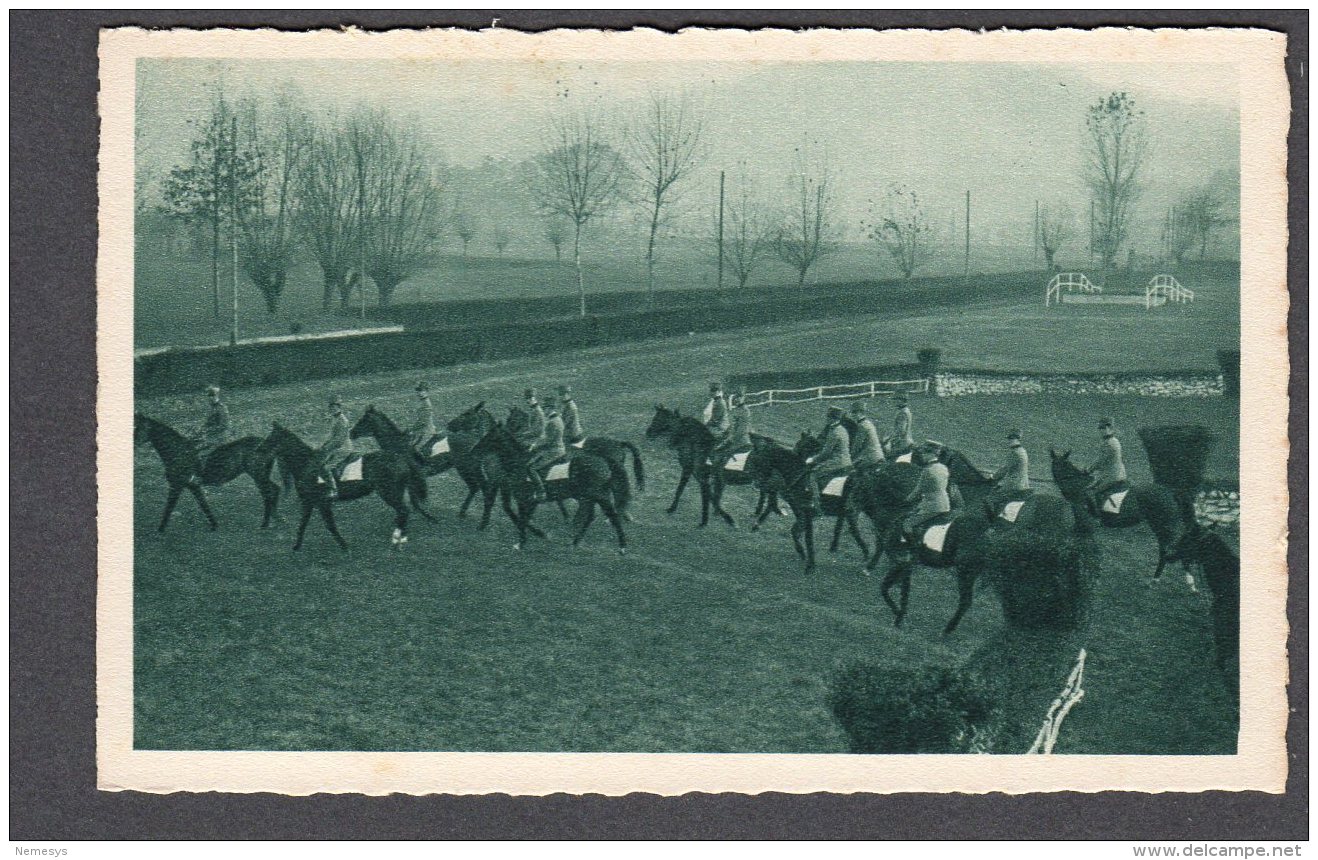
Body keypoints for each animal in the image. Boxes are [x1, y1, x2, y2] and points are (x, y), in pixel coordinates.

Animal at [135, 410, 279, 529]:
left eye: (138, 428)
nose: (134, 444)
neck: (178, 452)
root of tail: (264, 443)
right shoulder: (192, 486)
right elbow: (203, 504)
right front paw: (214, 524)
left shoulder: (177, 485)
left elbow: (170, 507)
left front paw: (160, 529)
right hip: (261, 476)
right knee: (274, 489)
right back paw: (276, 517)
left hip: (258, 475)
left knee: (268, 493)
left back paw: (265, 523)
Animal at [262, 421, 432, 550]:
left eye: (270, 439)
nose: (259, 451)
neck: (307, 466)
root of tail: (400, 458)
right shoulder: (308, 502)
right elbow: (302, 524)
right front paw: (296, 547)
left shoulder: (323, 503)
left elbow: (330, 525)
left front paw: (344, 546)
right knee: (405, 511)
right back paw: (402, 536)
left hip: (388, 493)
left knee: (403, 510)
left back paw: (397, 538)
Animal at [469, 416, 632, 550]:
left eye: (489, 436)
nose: (474, 450)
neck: (519, 462)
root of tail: (604, 460)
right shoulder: (528, 501)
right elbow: (524, 518)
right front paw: (534, 536)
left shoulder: (524, 499)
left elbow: (522, 519)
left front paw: (523, 542)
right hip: (590, 496)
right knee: (592, 515)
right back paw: (576, 542)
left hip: (598, 495)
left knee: (612, 514)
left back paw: (622, 547)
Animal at [640, 403, 774, 529]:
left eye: (657, 418)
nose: (648, 432)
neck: (699, 446)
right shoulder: (697, 474)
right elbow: (703, 494)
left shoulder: (698, 476)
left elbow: (707, 496)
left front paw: (719, 520)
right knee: (763, 493)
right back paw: (757, 512)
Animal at [1049, 445, 1196, 587]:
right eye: (1055, 463)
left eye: (1061, 464)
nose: (1058, 480)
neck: (1079, 487)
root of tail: (1170, 492)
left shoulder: (1086, 524)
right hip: (1159, 526)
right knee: (1165, 549)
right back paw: (1158, 579)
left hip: (1165, 526)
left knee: (1173, 548)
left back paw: (1179, 580)